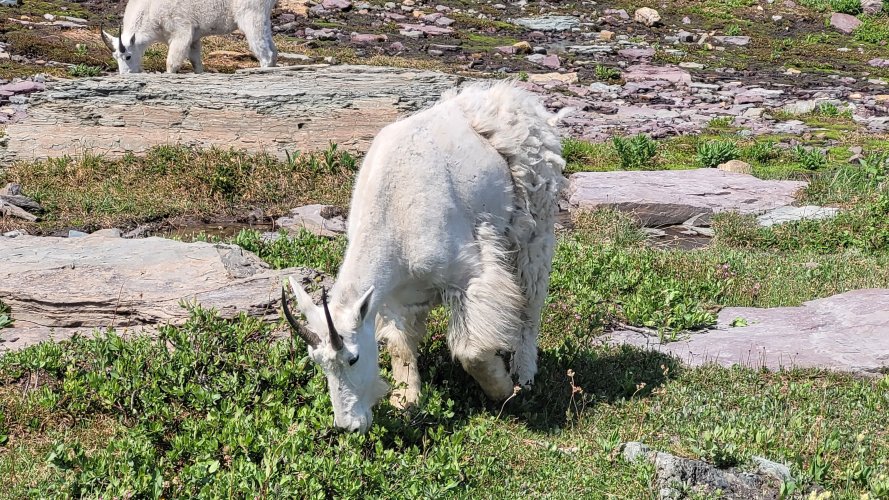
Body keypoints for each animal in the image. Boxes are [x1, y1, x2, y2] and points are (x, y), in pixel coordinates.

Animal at [99, 0, 278, 74]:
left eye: (128, 56)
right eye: (115, 57)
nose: (126, 75)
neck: (150, 10)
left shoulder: (181, 32)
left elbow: (172, 64)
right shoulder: (194, 38)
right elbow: (196, 62)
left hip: (250, 15)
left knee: (265, 53)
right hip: (263, 17)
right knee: (273, 50)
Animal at [280, 82, 564, 434]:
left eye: (353, 358)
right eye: (317, 361)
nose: (348, 426)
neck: (391, 216)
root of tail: (520, 99)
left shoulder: (467, 276)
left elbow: (470, 351)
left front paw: (501, 389)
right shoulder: (393, 296)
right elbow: (400, 345)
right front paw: (406, 400)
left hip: (535, 223)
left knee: (531, 300)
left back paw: (524, 373)